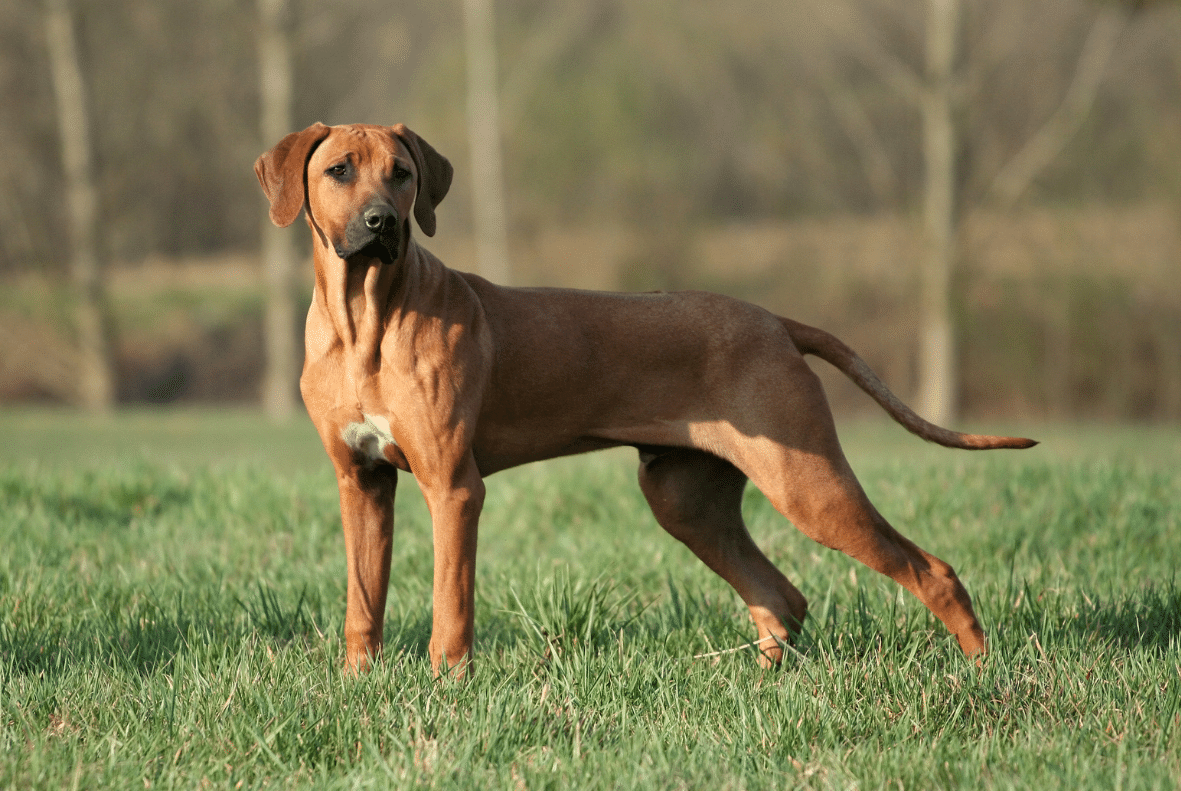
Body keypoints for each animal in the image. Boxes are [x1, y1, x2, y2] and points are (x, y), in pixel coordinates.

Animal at [253, 122, 1029, 675]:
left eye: (403, 174)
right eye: (339, 170)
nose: (382, 222)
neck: (365, 319)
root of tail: (775, 321)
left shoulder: (453, 486)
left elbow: (451, 602)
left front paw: (449, 686)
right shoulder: (361, 482)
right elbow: (363, 601)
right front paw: (357, 683)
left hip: (807, 484)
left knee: (931, 571)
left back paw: (983, 673)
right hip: (685, 498)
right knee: (780, 596)